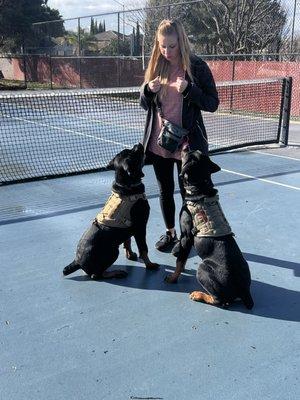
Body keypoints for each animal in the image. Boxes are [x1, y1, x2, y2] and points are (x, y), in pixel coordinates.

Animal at [63, 145, 159, 282]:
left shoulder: (129, 228)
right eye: (134, 153)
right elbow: (143, 248)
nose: (139, 144)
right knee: (96, 275)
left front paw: (130, 254)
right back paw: (115, 273)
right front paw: (149, 264)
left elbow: (127, 241)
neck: (126, 185)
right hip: (113, 251)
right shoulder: (140, 227)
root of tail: (77, 262)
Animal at [165, 150, 254, 310]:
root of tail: (244, 291)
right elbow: (182, 258)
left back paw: (198, 295)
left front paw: (173, 278)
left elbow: (179, 261)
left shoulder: (186, 236)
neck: (200, 186)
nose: (185, 147)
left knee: (220, 301)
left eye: (188, 154)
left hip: (203, 267)